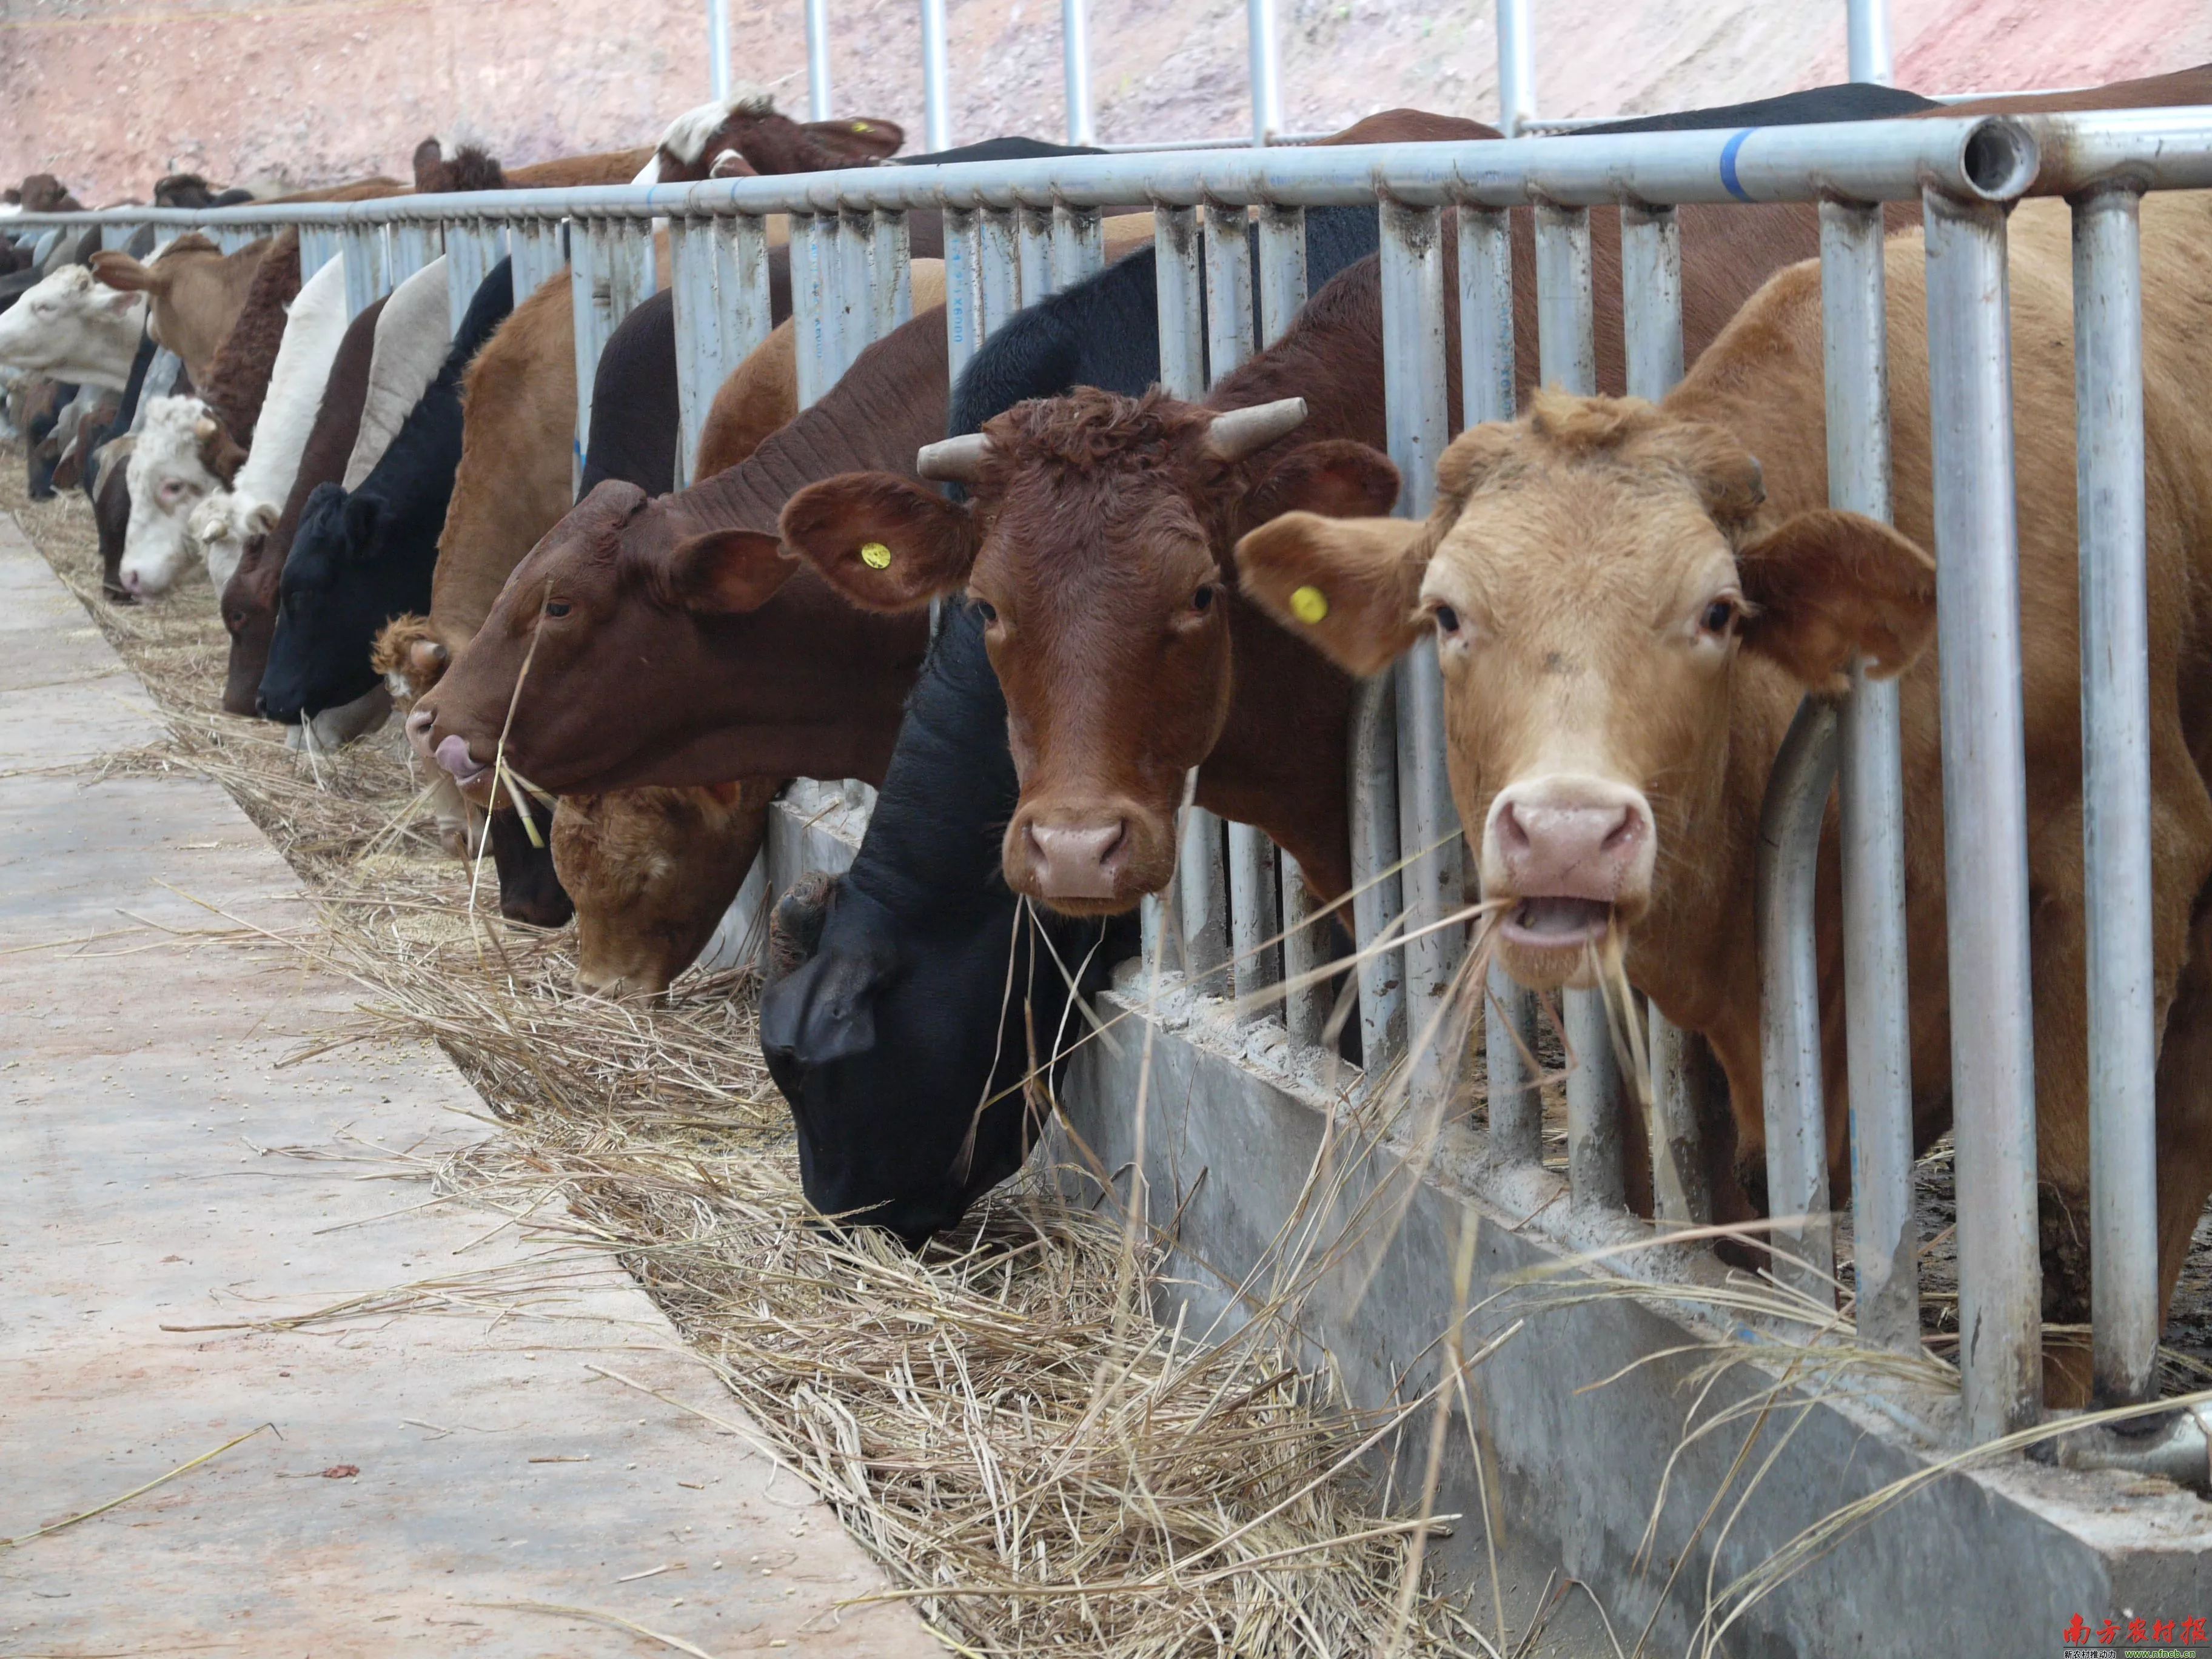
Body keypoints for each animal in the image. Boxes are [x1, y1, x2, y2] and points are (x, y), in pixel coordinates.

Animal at [1238, 198, 2212, 1415]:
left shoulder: (2121, 875)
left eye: (1716, 612)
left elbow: (2074, 1225)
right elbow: (1728, 1217)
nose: (1566, 834)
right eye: (1446, 614)